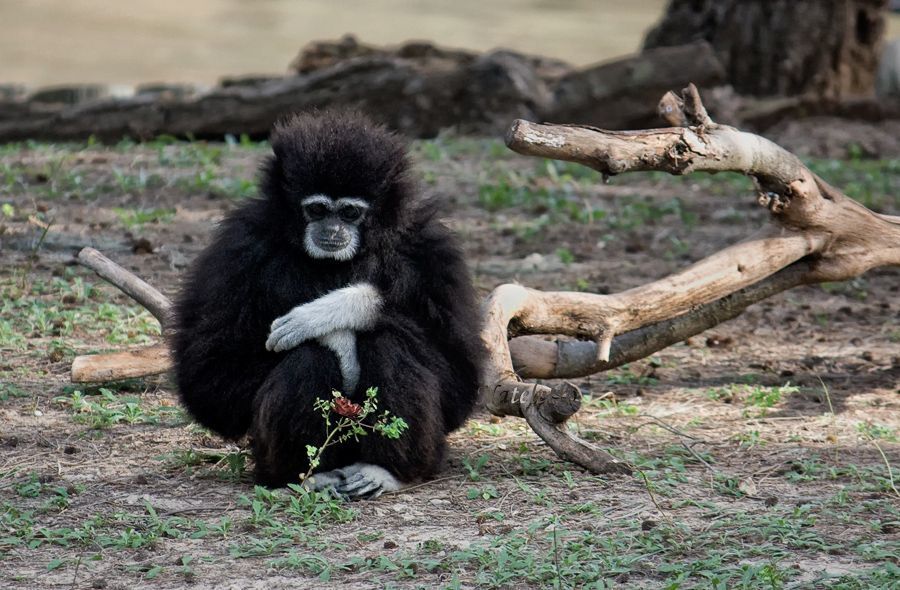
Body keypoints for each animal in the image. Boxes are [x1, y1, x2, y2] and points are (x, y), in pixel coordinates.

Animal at [172, 111, 484, 499]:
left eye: (349, 212)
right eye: (318, 209)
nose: (333, 230)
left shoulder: (430, 249)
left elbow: (459, 377)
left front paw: (338, 311)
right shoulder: (239, 248)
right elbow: (209, 380)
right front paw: (335, 339)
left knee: (387, 342)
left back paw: (384, 470)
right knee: (310, 356)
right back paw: (309, 474)